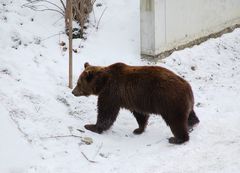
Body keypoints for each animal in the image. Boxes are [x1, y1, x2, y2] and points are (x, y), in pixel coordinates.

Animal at [72, 62, 200, 145]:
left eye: (78, 83)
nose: (73, 91)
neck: (102, 82)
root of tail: (188, 87)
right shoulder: (135, 99)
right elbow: (140, 115)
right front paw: (138, 129)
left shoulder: (111, 92)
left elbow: (106, 113)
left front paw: (91, 126)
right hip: (181, 102)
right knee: (190, 114)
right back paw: (193, 123)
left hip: (170, 101)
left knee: (176, 121)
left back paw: (177, 139)